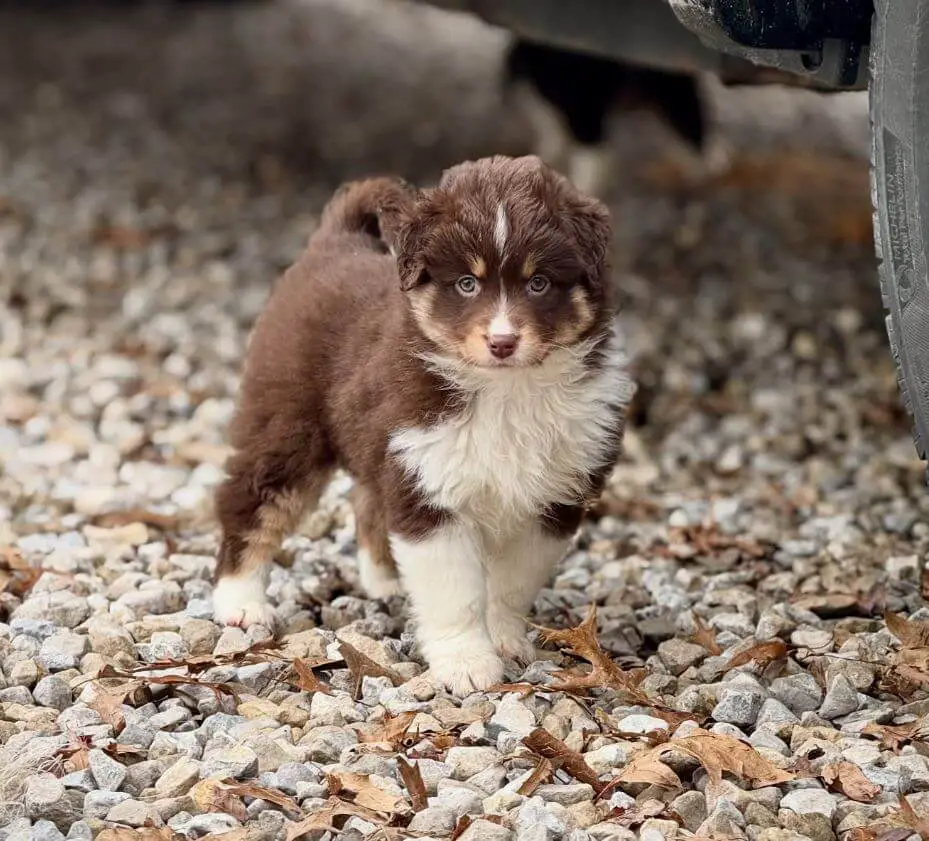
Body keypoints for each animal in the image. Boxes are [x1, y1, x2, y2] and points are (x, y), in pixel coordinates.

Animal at [211, 154, 636, 692]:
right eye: (467, 283)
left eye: (538, 282)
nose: (502, 342)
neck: (507, 391)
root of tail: (335, 241)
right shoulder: (429, 489)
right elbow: (456, 592)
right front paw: (466, 664)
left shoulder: (552, 501)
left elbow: (511, 584)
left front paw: (504, 640)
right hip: (287, 424)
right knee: (251, 503)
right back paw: (241, 602)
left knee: (367, 501)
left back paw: (386, 582)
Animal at [500, 38, 724, 194]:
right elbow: (550, 130)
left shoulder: (585, 110)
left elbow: (589, 160)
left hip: (670, 90)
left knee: (692, 124)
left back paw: (703, 170)